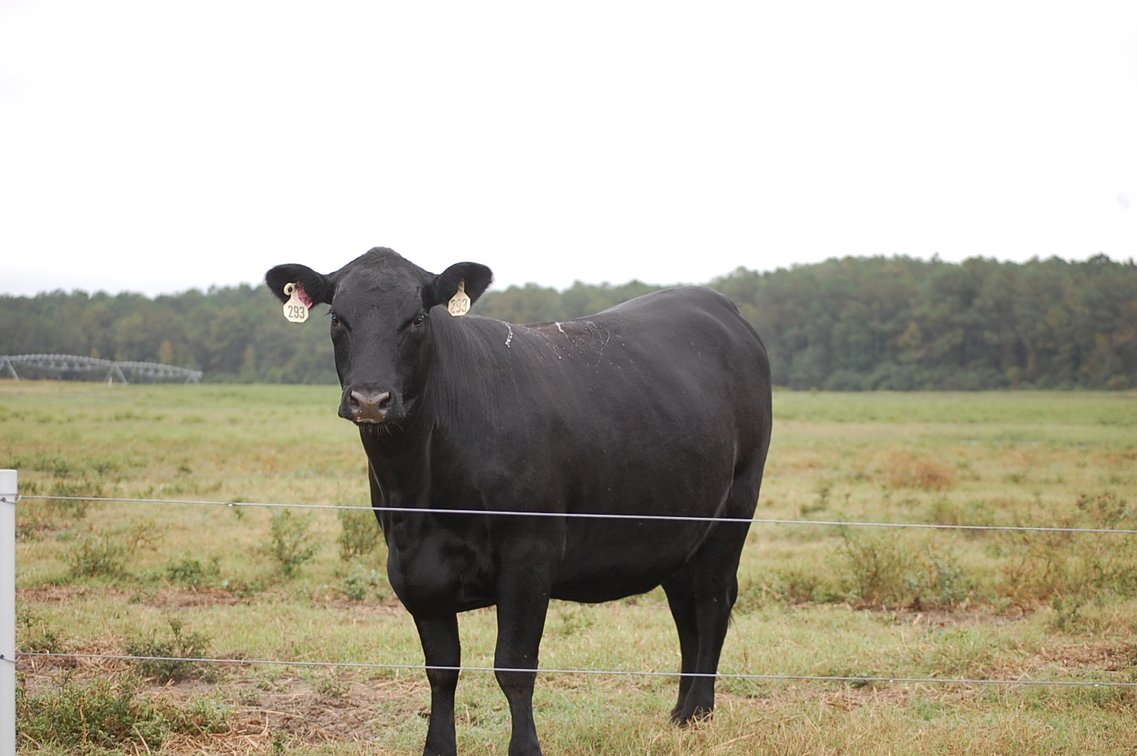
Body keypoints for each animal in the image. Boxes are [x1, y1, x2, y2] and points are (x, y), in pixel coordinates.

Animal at [266, 248, 772, 755]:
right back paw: (680, 713)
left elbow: (514, 666)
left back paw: (698, 711)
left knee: (712, 601)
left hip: (735, 508)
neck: (419, 493)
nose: (370, 399)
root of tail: (716, 302)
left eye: (416, 319)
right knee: (685, 605)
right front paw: (438, 747)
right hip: (682, 529)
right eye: (337, 317)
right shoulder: (414, 567)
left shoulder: (530, 553)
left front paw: (526, 747)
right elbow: (441, 669)